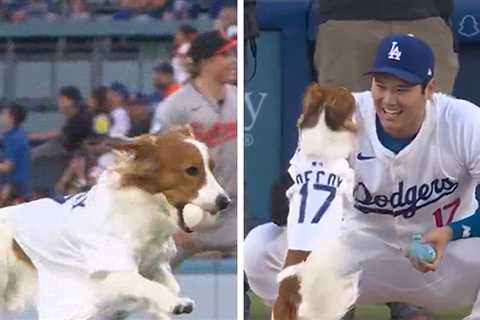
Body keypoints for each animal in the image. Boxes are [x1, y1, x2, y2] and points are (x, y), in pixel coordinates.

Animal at [0, 127, 231, 320]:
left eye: (211, 168)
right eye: (191, 170)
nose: (225, 201)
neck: (143, 209)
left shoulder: (154, 264)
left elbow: (169, 283)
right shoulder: (109, 274)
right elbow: (145, 285)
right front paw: (172, 303)